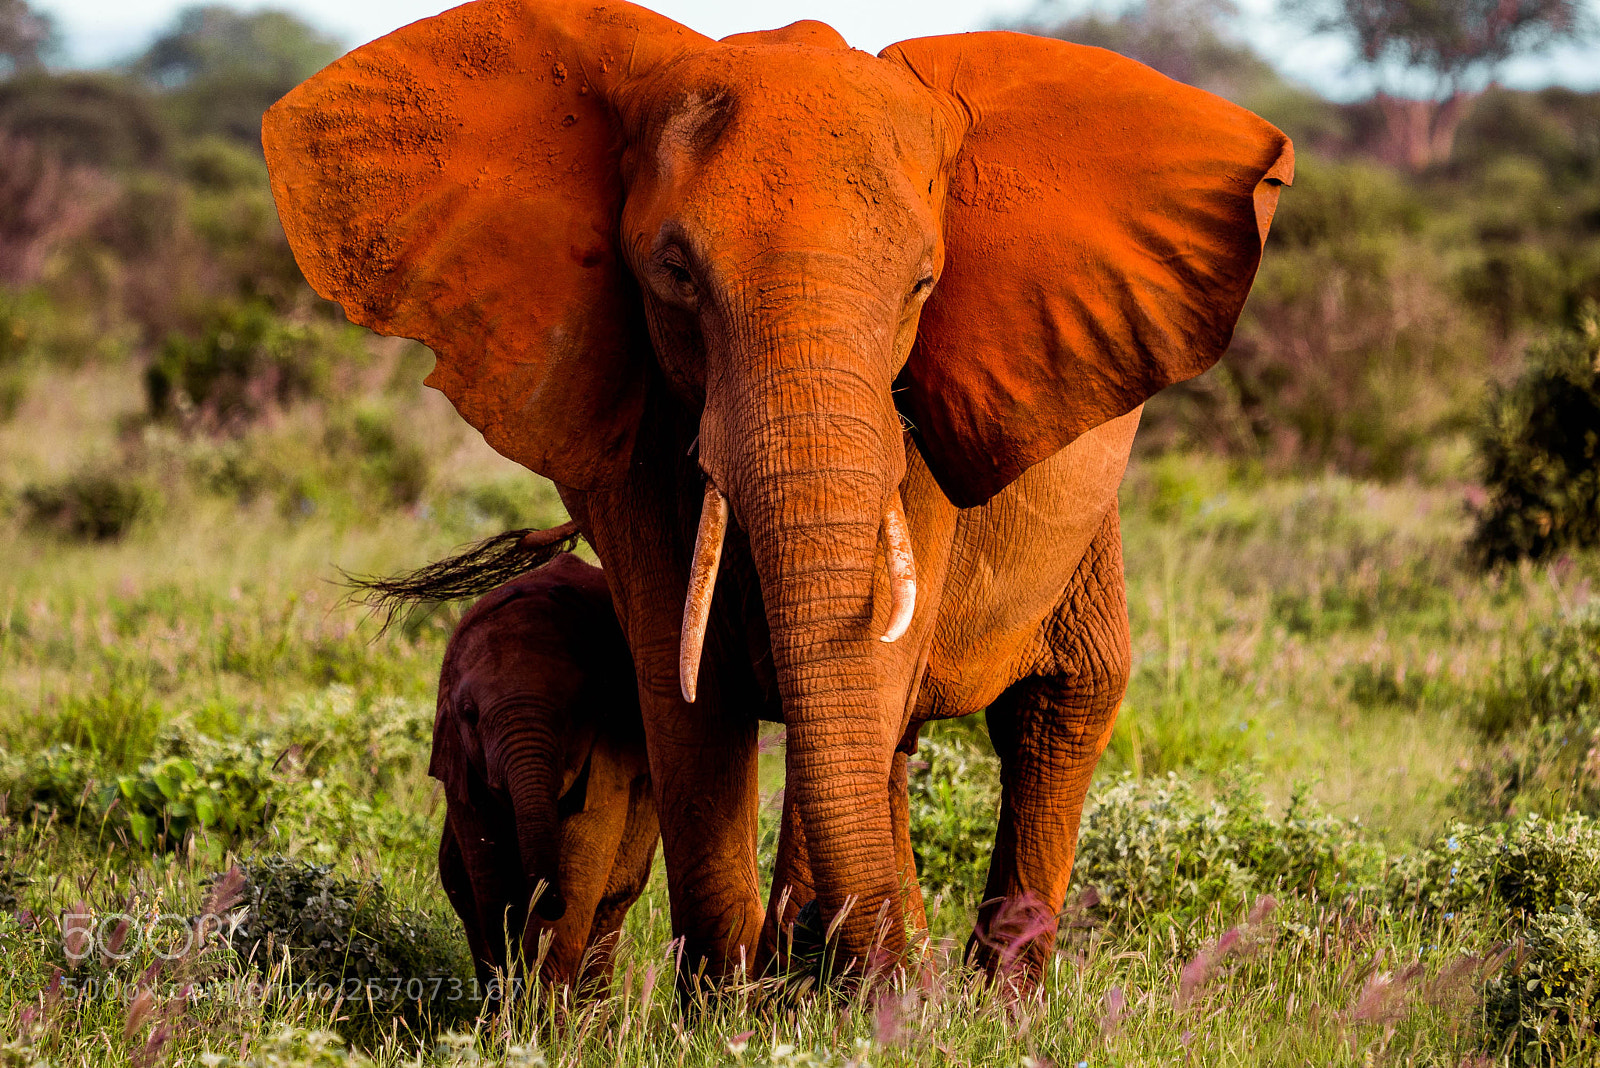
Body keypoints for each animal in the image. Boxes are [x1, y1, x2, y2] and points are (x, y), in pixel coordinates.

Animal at [431, 554, 657, 994]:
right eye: (469, 714)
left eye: (581, 711)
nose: (549, 899)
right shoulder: (461, 767)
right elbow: (491, 881)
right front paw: (509, 1002)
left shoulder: (607, 759)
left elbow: (580, 870)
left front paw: (540, 1009)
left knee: (613, 898)